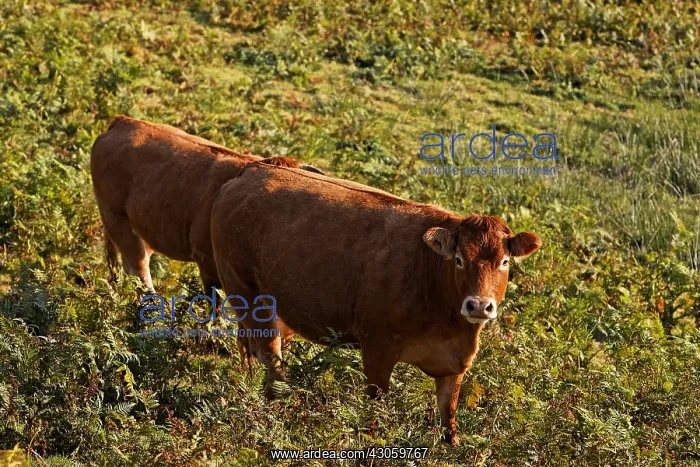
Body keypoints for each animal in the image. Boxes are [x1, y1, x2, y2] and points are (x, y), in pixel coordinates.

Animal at [210, 162, 541, 446]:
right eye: (459, 260)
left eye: (504, 262)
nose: (478, 306)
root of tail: (251, 170)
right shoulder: (377, 347)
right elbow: (374, 407)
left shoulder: (454, 364)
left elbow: (448, 417)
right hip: (246, 292)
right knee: (269, 356)